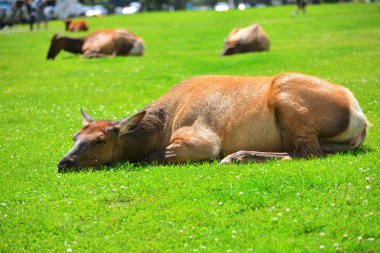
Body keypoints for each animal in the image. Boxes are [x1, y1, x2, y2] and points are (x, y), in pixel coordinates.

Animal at [58, 73, 370, 172]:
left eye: (100, 140)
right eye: (74, 137)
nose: (64, 163)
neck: (161, 127)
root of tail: (361, 118)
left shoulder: (203, 139)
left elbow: (152, 156)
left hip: (288, 97)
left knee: (308, 152)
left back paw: (237, 156)